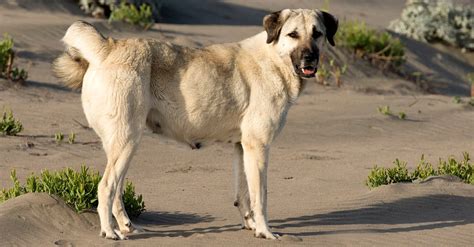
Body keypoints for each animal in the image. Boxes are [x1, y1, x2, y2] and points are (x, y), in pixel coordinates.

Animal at [53, 8, 336, 240]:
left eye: (317, 34)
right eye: (293, 34)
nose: (310, 58)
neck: (275, 57)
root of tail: (108, 47)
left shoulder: (243, 147)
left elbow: (244, 194)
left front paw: (252, 226)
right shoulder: (259, 146)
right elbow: (261, 197)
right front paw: (265, 232)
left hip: (123, 145)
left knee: (117, 190)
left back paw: (127, 226)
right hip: (127, 141)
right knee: (106, 187)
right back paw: (110, 232)